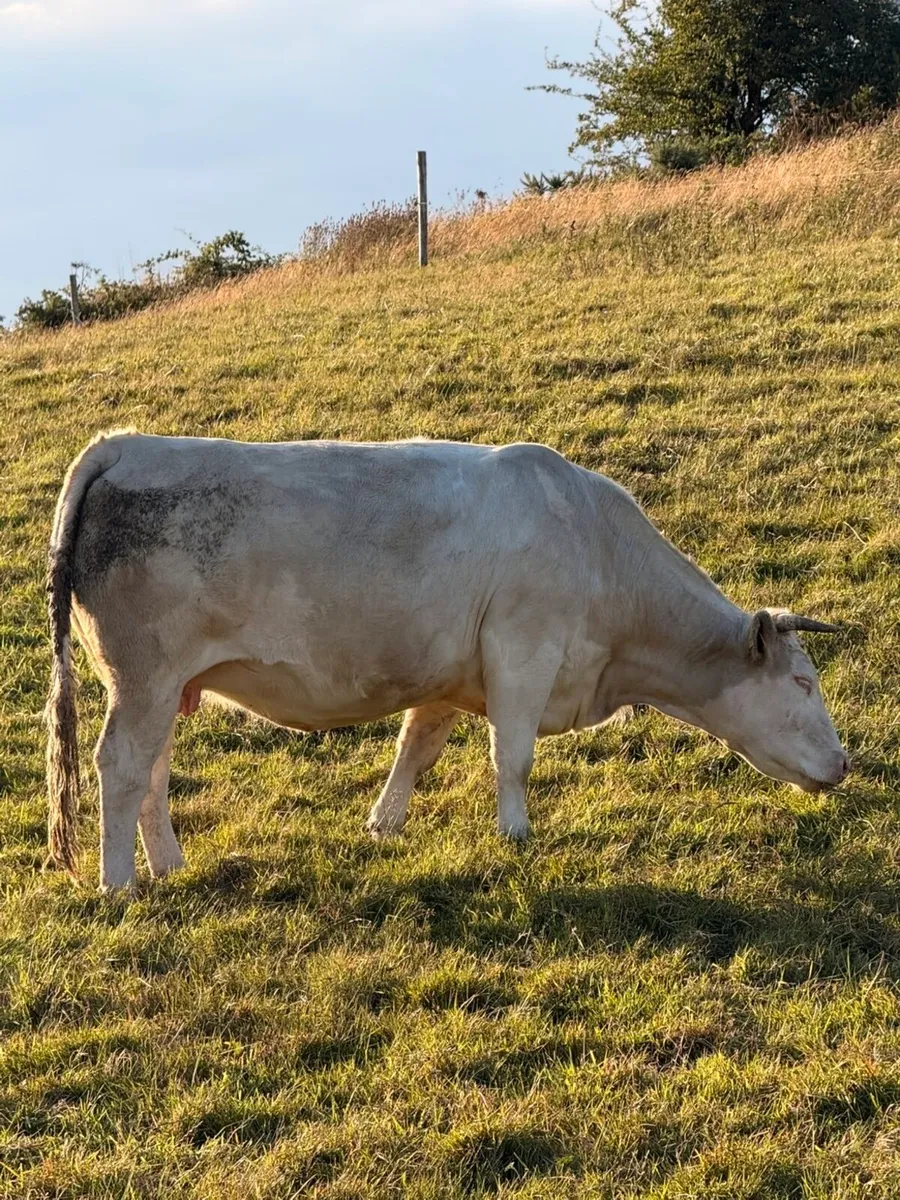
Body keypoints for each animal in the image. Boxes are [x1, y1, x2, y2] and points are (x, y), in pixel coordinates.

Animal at [46, 431, 849, 890]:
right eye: (804, 681)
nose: (845, 763)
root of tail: (128, 442)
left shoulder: (452, 674)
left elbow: (416, 748)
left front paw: (383, 826)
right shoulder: (524, 651)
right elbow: (512, 758)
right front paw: (516, 837)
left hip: (165, 684)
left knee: (152, 772)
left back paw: (168, 866)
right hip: (144, 674)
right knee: (121, 765)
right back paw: (119, 885)